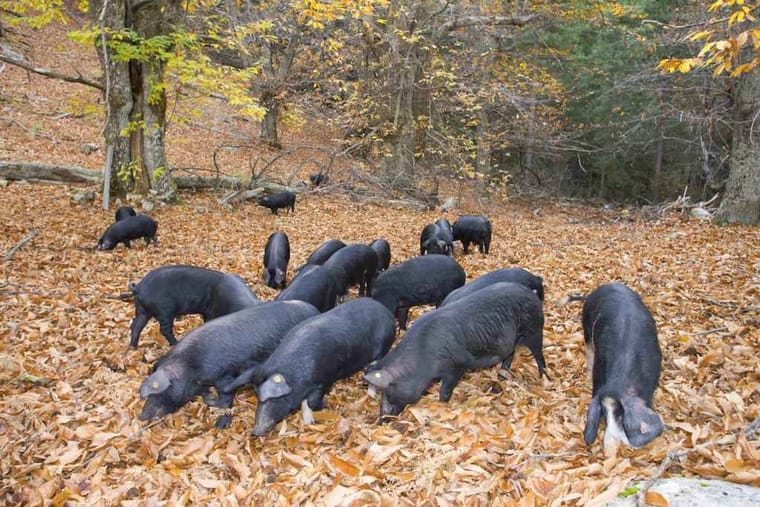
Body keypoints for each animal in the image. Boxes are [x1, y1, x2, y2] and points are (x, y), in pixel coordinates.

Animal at [128, 265, 260, 348]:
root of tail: (139, 287)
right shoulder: (212, 311)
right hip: (164, 309)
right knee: (164, 329)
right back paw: (176, 343)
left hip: (142, 310)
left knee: (136, 325)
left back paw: (133, 347)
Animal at [138, 301, 319, 429]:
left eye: (161, 391)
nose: (141, 416)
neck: (192, 367)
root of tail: (314, 310)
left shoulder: (224, 375)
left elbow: (225, 399)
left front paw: (218, 422)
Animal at [222, 298, 395, 435]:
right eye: (257, 397)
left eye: (277, 398)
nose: (256, 431)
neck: (296, 376)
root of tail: (386, 312)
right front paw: (307, 423)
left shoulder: (324, 380)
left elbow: (311, 402)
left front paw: (320, 410)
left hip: (382, 348)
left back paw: (370, 393)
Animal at [365, 282, 548, 418]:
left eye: (388, 391)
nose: (381, 419)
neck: (422, 357)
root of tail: (531, 293)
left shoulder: (457, 365)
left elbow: (445, 391)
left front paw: (442, 405)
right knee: (510, 355)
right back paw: (502, 376)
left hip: (535, 330)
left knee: (539, 355)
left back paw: (543, 378)